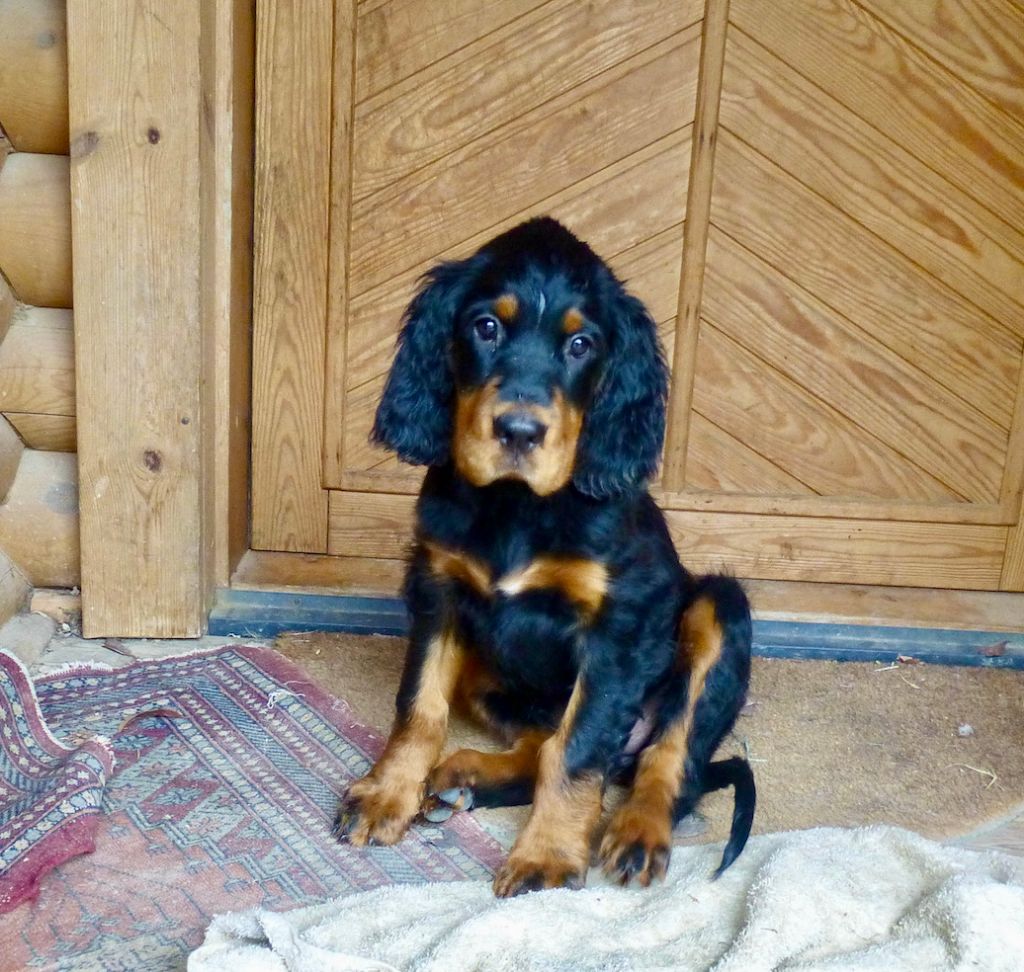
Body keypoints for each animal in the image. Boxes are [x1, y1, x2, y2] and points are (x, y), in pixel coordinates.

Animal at [333, 214, 753, 893]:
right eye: (486, 327)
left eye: (581, 344)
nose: (520, 432)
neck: (517, 505)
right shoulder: (438, 591)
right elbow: (419, 707)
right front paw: (385, 795)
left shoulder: (618, 626)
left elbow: (577, 747)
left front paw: (547, 856)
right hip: (487, 671)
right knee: (537, 743)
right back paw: (462, 778)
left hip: (719, 607)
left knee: (667, 758)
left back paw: (638, 830)